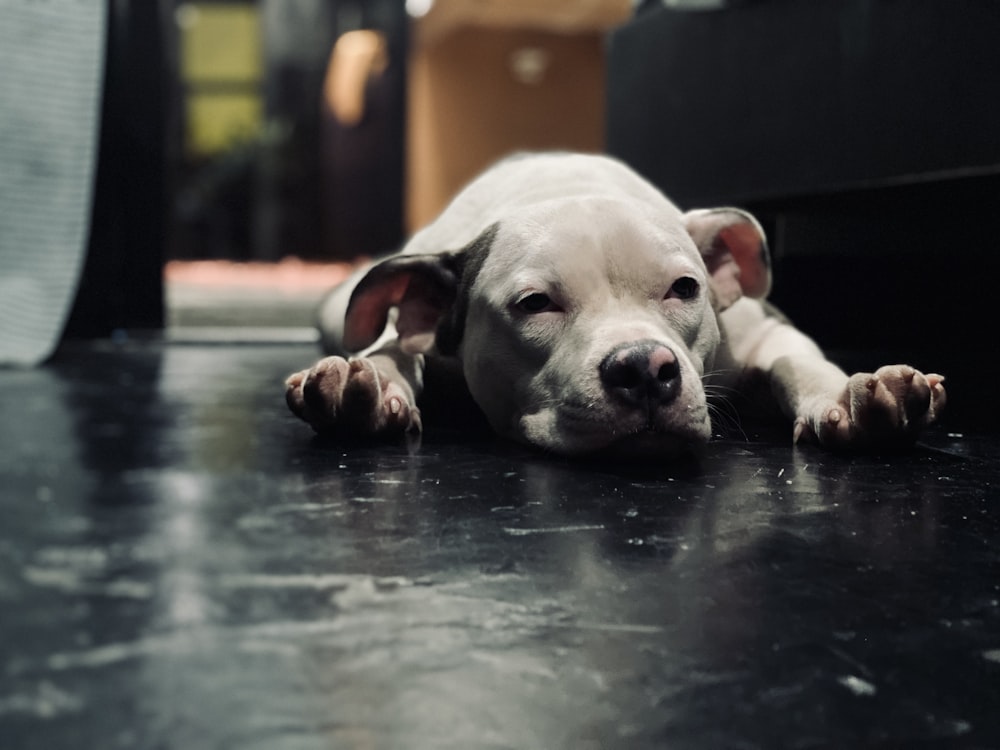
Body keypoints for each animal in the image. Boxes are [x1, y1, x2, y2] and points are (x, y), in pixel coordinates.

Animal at [284, 153, 944, 458]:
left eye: (685, 289)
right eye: (535, 304)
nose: (644, 368)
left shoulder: (762, 330)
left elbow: (796, 359)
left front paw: (847, 396)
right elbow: (395, 347)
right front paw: (370, 382)